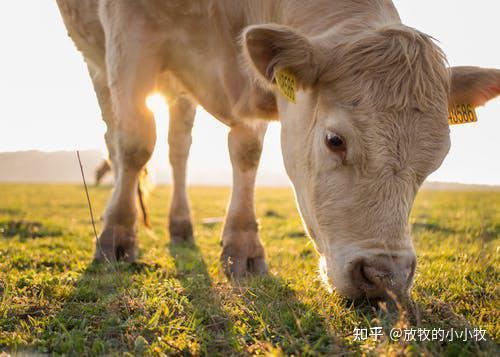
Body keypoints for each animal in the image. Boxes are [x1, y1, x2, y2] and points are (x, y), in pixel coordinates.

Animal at [54, 1, 500, 298]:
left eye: (436, 161)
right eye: (334, 140)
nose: (385, 277)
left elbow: (246, 152)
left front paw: (242, 248)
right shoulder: (128, 30)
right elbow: (134, 143)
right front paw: (116, 237)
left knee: (180, 146)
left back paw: (181, 225)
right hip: (98, 59)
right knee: (118, 136)